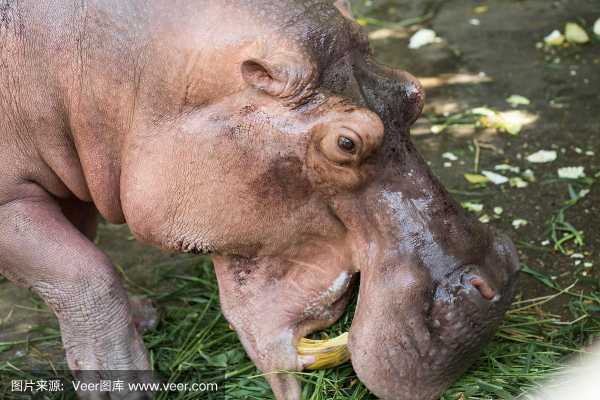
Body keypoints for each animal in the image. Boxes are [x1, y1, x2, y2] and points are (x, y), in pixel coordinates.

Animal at [0, 0, 516, 398]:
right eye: (346, 143)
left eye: (414, 91)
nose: (496, 284)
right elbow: (87, 274)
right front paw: (124, 384)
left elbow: (81, 249)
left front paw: (143, 318)